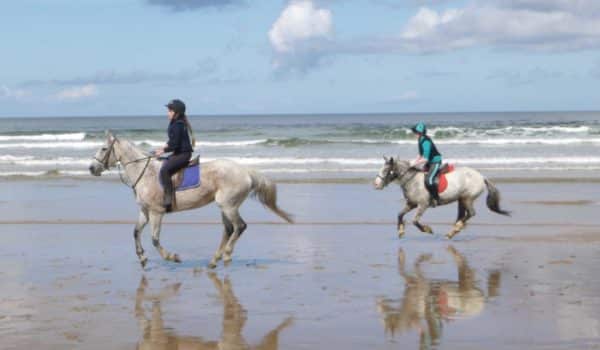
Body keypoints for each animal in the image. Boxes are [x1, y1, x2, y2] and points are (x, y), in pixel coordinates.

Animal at [89, 131, 292, 268]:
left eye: (104, 148)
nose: (91, 168)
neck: (145, 173)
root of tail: (245, 171)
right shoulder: (145, 211)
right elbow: (135, 232)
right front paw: (142, 258)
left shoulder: (156, 212)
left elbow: (154, 239)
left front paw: (172, 257)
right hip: (225, 207)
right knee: (229, 230)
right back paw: (214, 260)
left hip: (228, 206)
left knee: (240, 227)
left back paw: (226, 255)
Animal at [372, 157, 508, 239]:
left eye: (386, 170)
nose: (376, 184)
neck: (412, 180)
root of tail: (481, 176)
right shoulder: (411, 204)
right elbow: (399, 214)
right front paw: (400, 231)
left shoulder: (423, 205)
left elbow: (415, 221)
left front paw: (427, 229)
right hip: (461, 200)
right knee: (462, 215)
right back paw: (454, 230)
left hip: (467, 198)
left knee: (471, 213)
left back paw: (455, 229)